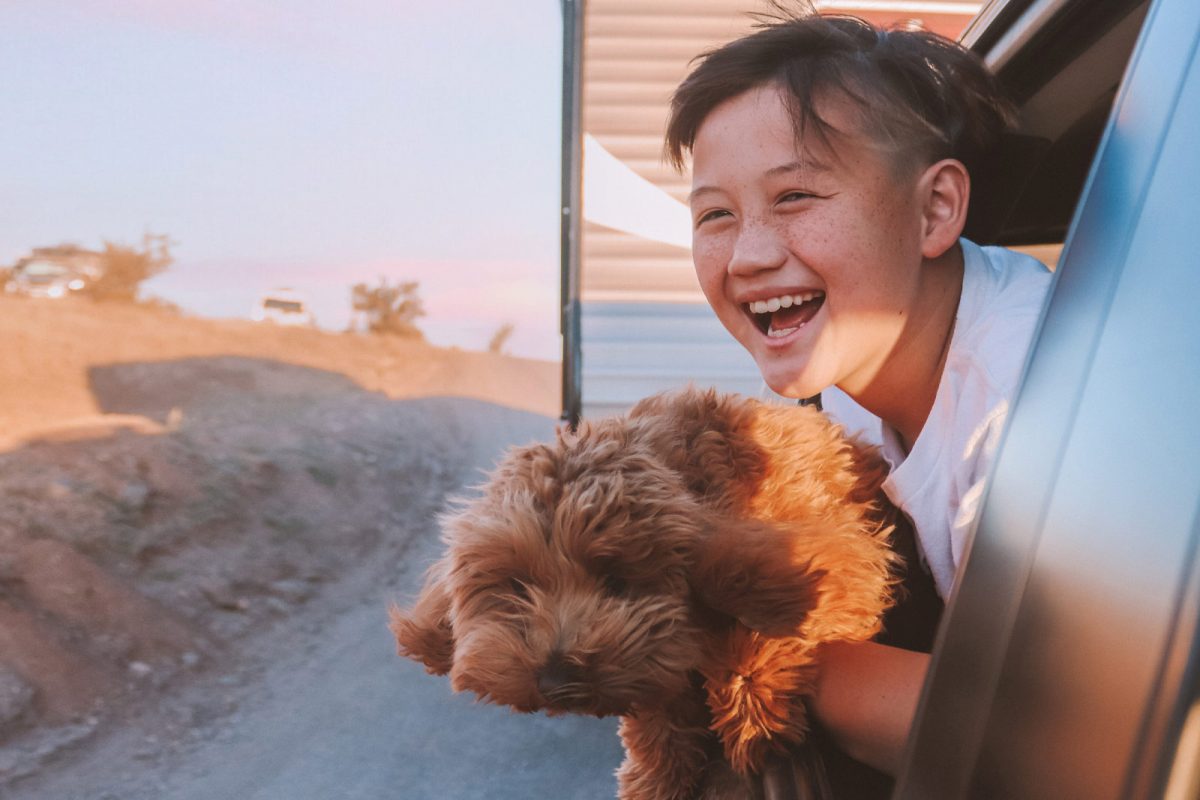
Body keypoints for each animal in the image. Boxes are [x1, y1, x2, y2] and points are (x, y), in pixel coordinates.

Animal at [388, 388, 897, 800]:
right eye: (516, 586)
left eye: (617, 579)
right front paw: (658, 776)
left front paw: (754, 716)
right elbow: (660, 715)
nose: (556, 679)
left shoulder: (836, 556)